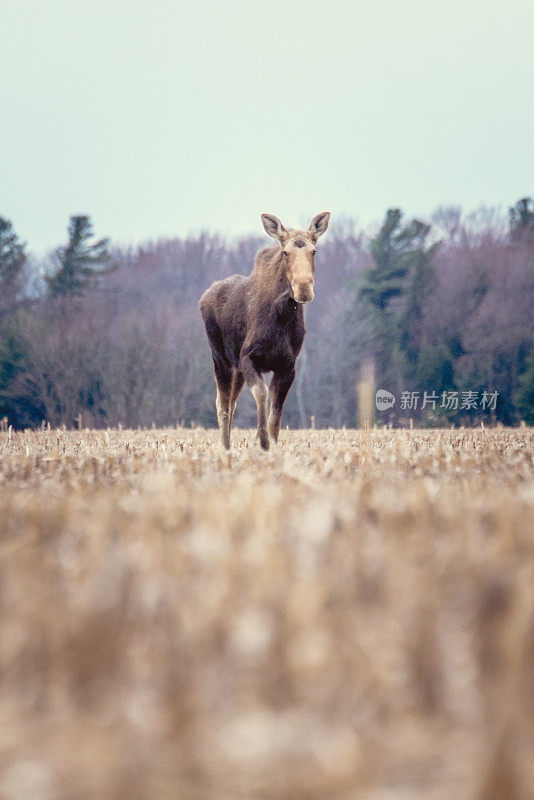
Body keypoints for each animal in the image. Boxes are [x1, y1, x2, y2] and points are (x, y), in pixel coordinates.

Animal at [200, 212, 330, 450]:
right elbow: (261, 394)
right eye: (286, 252)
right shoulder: (249, 358)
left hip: (236, 368)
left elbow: (276, 410)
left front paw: (272, 442)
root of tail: (205, 295)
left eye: (314, 251)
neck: (283, 314)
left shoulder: (287, 366)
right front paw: (261, 440)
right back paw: (225, 447)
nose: (304, 288)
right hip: (221, 359)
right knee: (222, 404)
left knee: (232, 403)